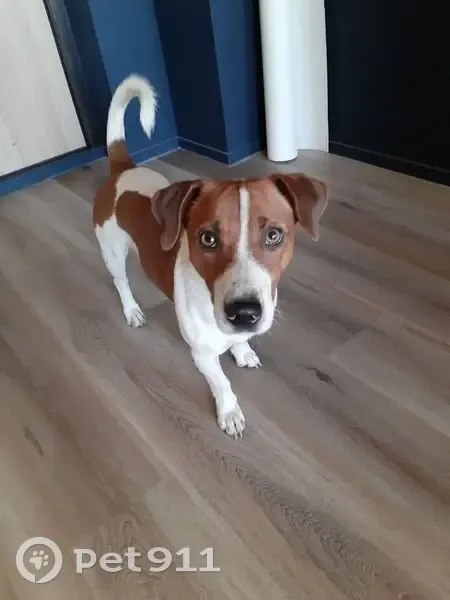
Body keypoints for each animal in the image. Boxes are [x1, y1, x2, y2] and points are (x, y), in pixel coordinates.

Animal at [93, 75, 328, 438]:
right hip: (112, 251)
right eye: (207, 238)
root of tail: (123, 170)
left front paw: (242, 351)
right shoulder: (202, 356)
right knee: (121, 283)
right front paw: (229, 411)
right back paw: (132, 310)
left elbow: (238, 344)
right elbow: (220, 383)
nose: (244, 313)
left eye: (273, 235)